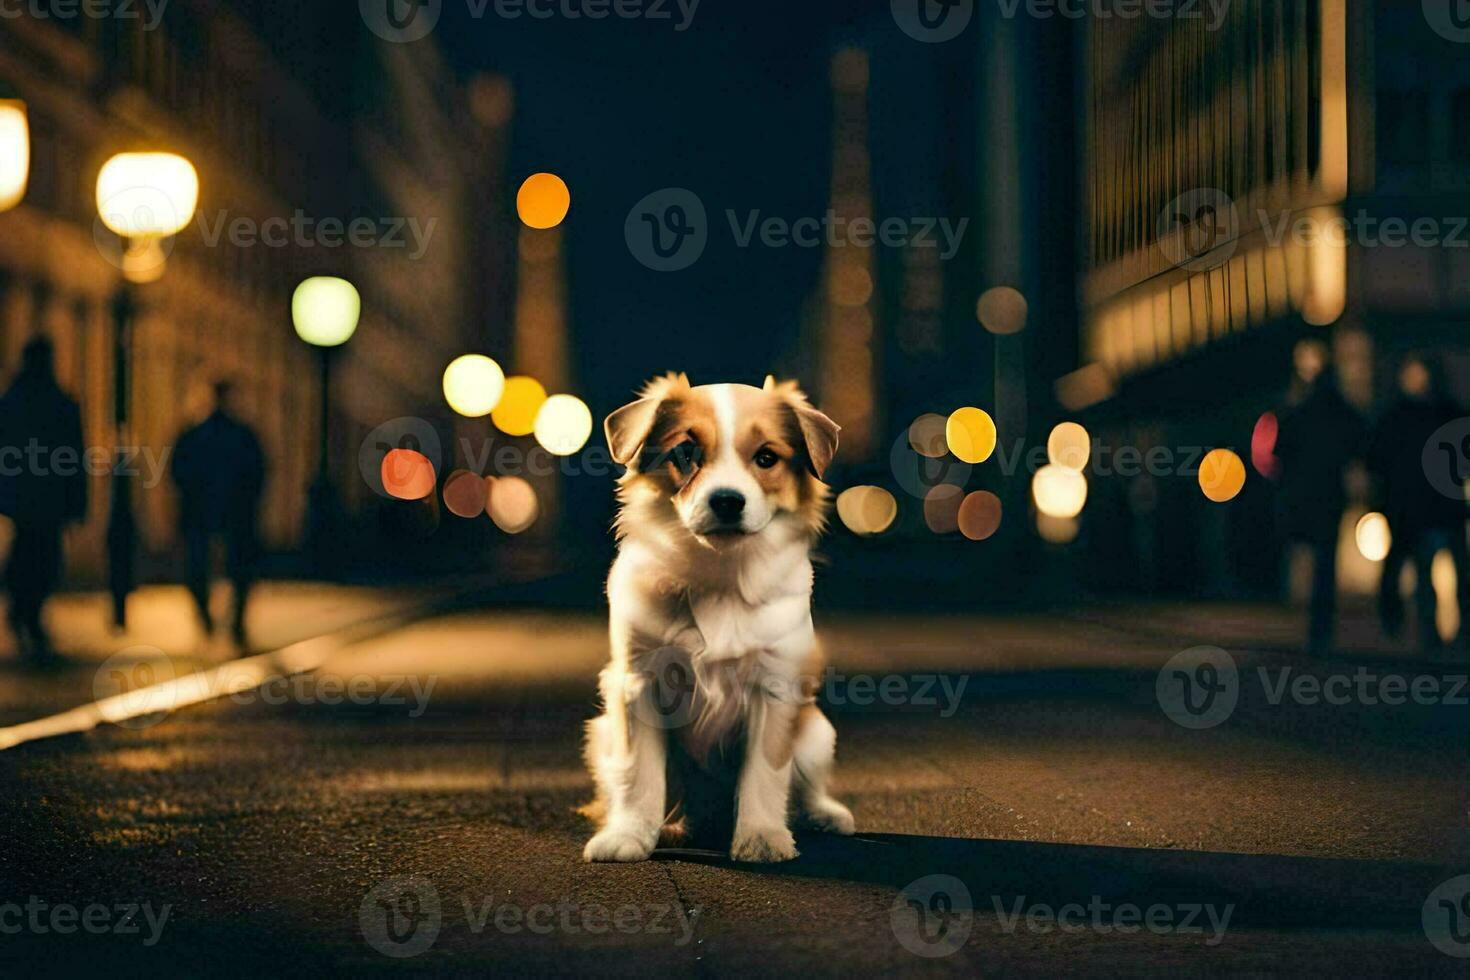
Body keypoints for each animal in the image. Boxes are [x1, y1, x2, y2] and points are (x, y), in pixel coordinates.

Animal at [585, 376, 858, 863]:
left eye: (766, 458)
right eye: (685, 452)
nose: (727, 501)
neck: (719, 574)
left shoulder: (775, 687)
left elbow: (765, 775)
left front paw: (762, 837)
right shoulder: (637, 683)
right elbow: (638, 776)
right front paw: (628, 835)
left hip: (817, 734)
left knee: (806, 788)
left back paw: (825, 814)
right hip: (601, 735)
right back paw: (674, 826)